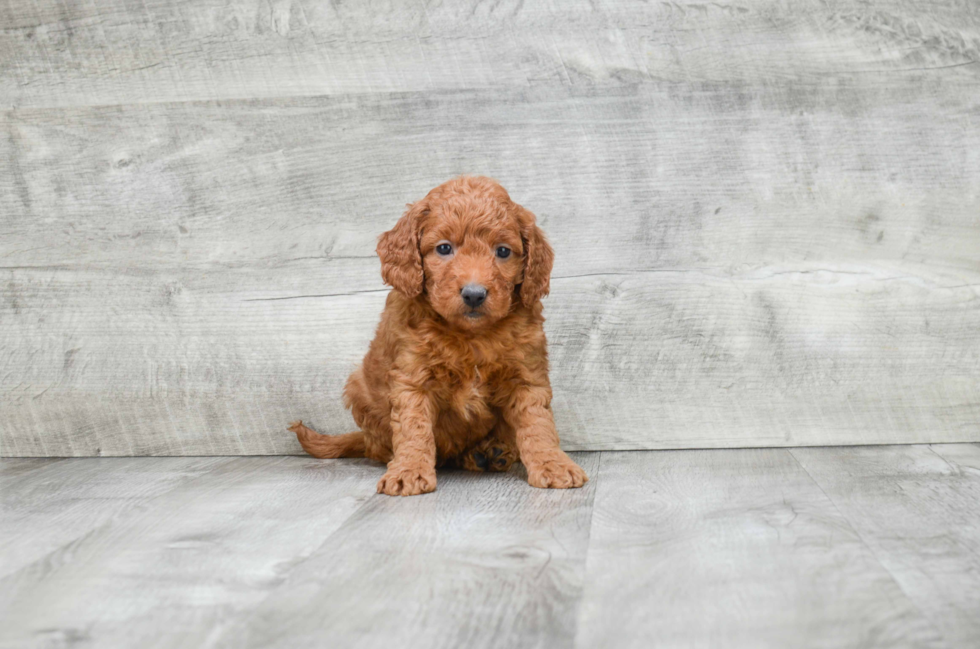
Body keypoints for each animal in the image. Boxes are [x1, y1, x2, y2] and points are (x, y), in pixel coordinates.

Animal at [288, 175, 584, 494]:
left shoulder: (526, 376)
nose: (474, 294)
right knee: (385, 449)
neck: (470, 336)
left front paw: (553, 464)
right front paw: (408, 471)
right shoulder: (412, 378)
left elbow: (538, 423)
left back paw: (488, 452)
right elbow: (413, 428)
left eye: (503, 251)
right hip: (359, 390)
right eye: (444, 249)